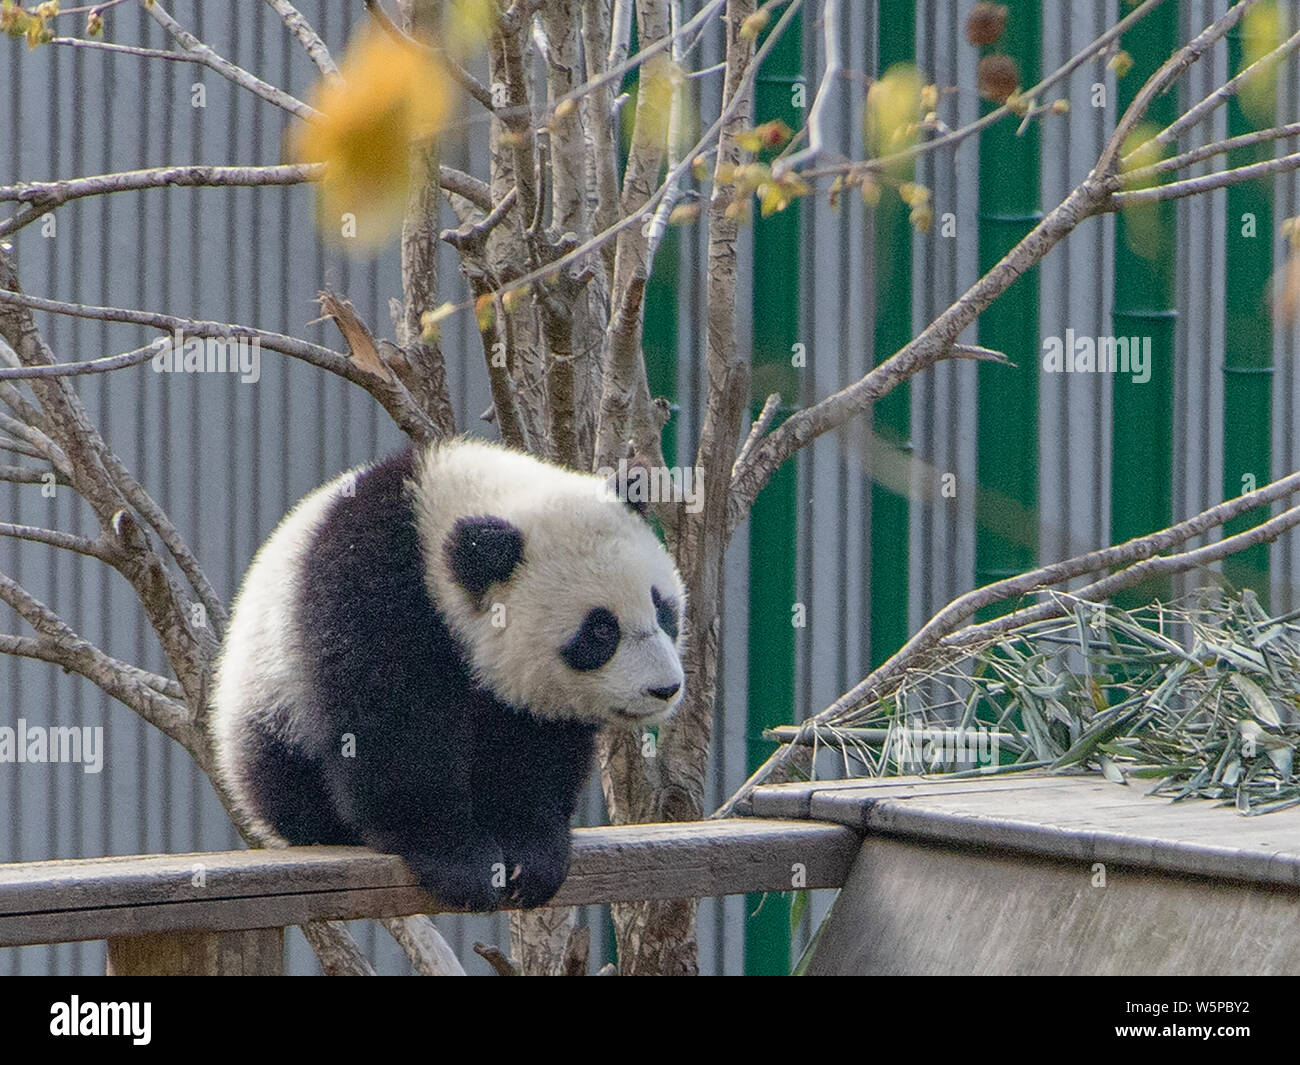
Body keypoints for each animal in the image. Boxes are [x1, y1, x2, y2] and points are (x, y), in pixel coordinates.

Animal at [210, 437, 686, 911]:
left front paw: (530, 854)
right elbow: (392, 728)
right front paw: (459, 862)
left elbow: (532, 743)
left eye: (663, 609)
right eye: (601, 630)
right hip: (270, 694)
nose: (665, 688)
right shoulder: (370, 590)